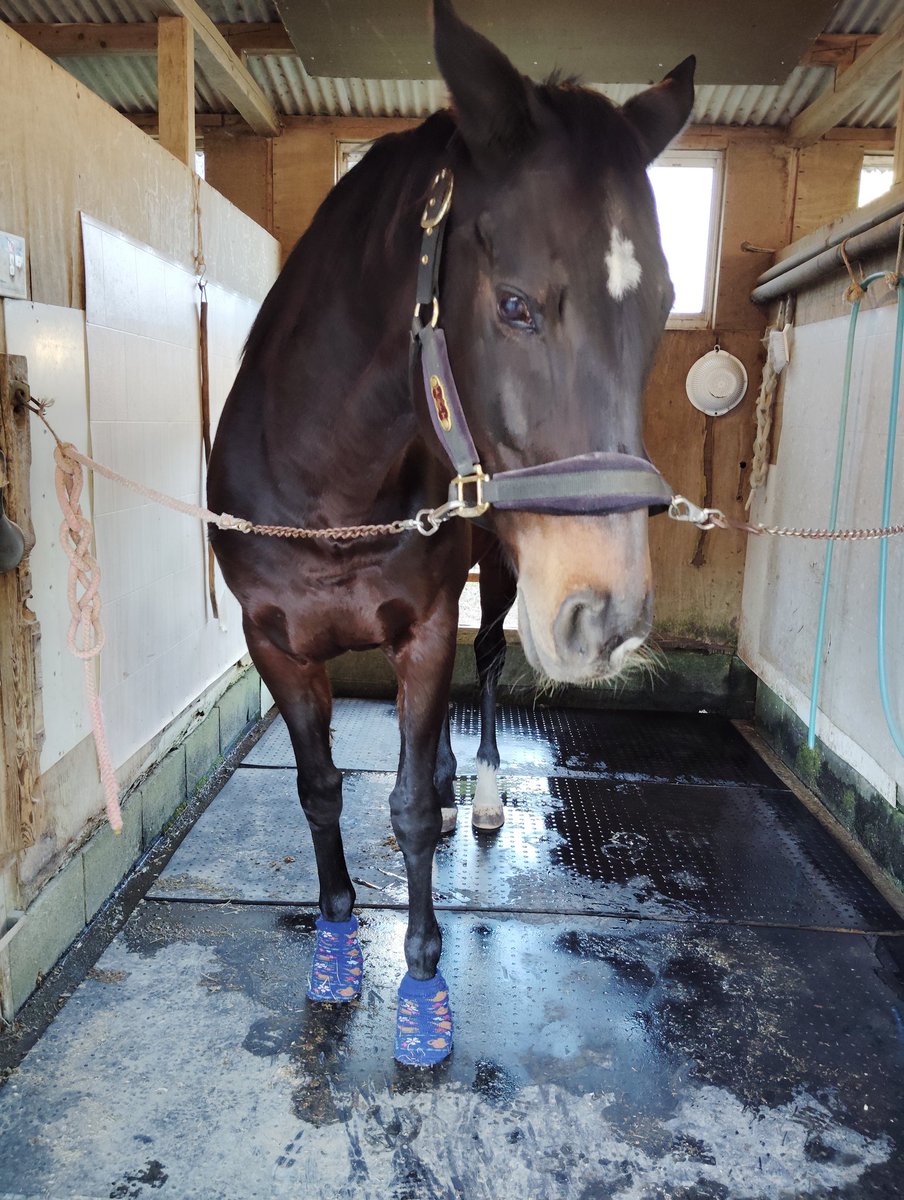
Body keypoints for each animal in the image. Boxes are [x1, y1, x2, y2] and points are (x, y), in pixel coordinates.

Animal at [208, 0, 694, 1067]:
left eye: (662, 310)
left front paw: (422, 988)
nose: (609, 621)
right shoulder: (274, 643)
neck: (328, 488)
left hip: (502, 580)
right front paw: (339, 943)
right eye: (514, 305)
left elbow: (406, 804)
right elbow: (320, 789)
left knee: (490, 669)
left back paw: (481, 791)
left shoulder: (427, 625)